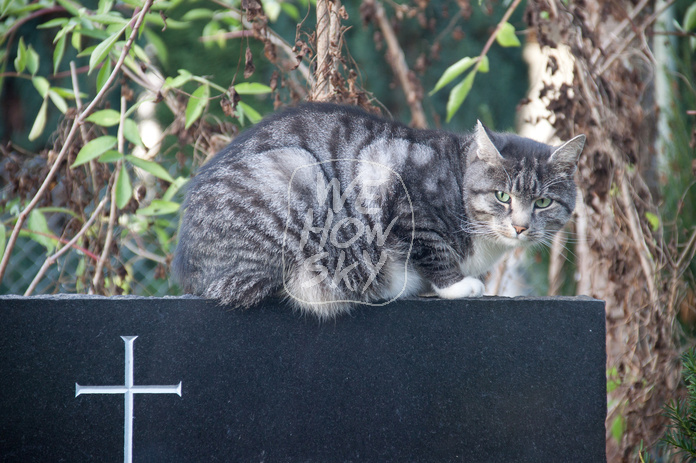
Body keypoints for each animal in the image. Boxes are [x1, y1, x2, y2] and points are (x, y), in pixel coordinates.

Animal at [171, 102, 584, 320]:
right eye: (502, 196)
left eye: (543, 202)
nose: (520, 227)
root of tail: (189, 268)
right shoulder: (398, 191)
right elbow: (433, 247)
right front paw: (458, 286)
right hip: (297, 176)